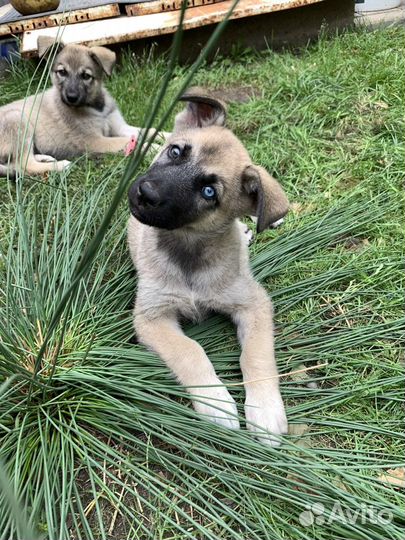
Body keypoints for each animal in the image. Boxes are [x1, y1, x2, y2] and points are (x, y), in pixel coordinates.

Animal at [0, 38, 164, 177]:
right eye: (62, 72)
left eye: (86, 76)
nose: (71, 97)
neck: (97, 107)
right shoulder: (94, 141)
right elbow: (129, 142)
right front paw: (156, 148)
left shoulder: (120, 127)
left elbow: (150, 130)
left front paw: (166, 135)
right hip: (16, 119)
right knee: (24, 165)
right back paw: (61, 166)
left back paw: (45, 158)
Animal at [128, 87, 288, 442]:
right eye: (176, 151)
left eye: (209, 192)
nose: (145, 193)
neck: (189, 248)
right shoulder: (152, 316)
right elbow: (190, 351)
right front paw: (216, 401)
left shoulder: (254, 303)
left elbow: (256, 356)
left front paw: (265, 408)